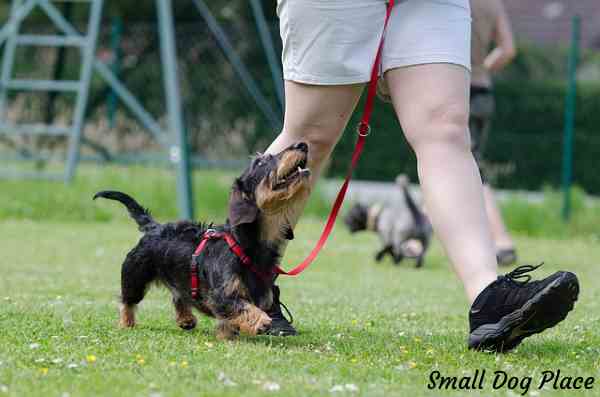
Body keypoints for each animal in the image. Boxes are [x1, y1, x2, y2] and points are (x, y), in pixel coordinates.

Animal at [95, 141, 310, 338]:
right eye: (260, 162)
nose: (302, 144)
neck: (244, 244)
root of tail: (154, 227)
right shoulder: (221, 296)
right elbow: (242, 307)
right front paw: (262, 321)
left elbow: (231, 319)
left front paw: (228, 334)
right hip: (135, 277)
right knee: (127, 302)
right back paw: (127, 323)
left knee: (178, 296)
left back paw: (186, 319)